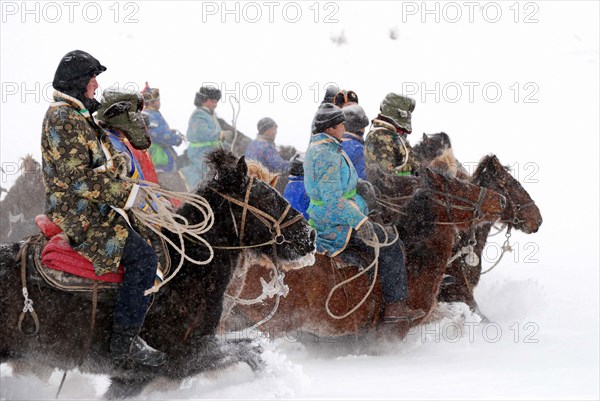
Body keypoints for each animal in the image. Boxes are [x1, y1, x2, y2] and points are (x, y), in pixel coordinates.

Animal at [0, 148, 316, 398]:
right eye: (267, 199)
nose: (309, 236)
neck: (186, 271)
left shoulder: (135, 378)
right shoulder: (182, 358)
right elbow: (250, 350)